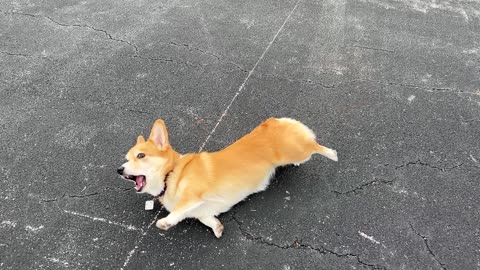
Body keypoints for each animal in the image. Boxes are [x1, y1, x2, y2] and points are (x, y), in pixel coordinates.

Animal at [117, 117, 336, 237]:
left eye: (141, 156)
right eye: (126, 159)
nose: (119, 170)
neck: (170, 176)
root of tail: (273, 121)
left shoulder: (192, 195)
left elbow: (178, 210)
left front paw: (165, 222)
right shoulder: (201, 210)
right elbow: (205, 218)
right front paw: (217, 228)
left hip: (295, 151)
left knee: (314, 146)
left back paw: (332, 153)